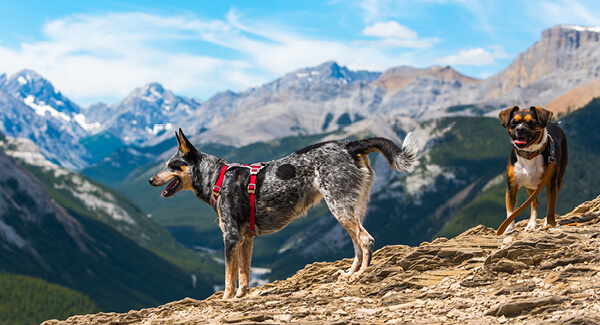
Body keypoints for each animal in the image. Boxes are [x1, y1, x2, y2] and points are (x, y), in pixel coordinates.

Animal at [149, 130, 418, 298]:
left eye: (171, 165)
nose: (150, 180)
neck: (216, 178)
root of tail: (349, 145)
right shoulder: (246, 239)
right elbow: (244, 274)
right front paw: (240, 296)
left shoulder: (231, 238)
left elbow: (228, 276)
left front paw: (226, 299)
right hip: (351, 209)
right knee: (357, 245)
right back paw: (351, 272)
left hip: (340, 208)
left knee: (366, 240)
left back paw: (360, 274)